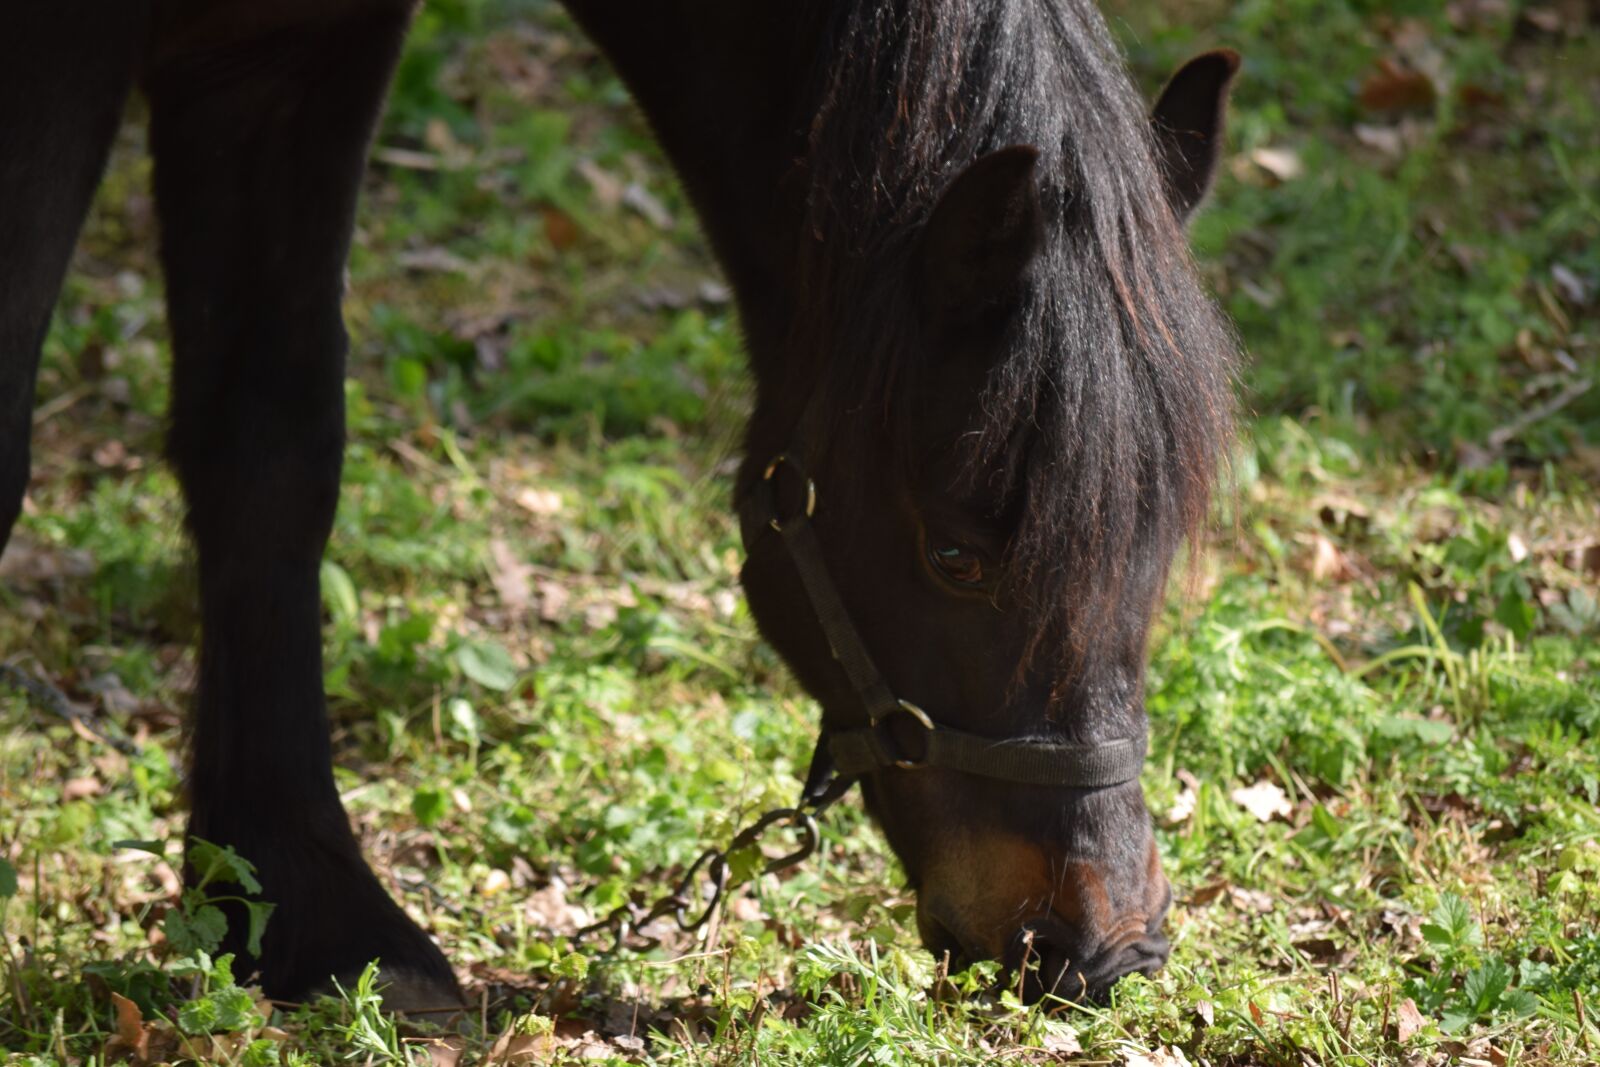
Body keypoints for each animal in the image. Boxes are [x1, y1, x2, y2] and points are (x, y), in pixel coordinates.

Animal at [0, 0, 1238, 1009]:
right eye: (955, 556)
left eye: (1155, 543)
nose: (1105, 946)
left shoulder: (295, 47)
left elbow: (271, 453)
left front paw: (304, 907)